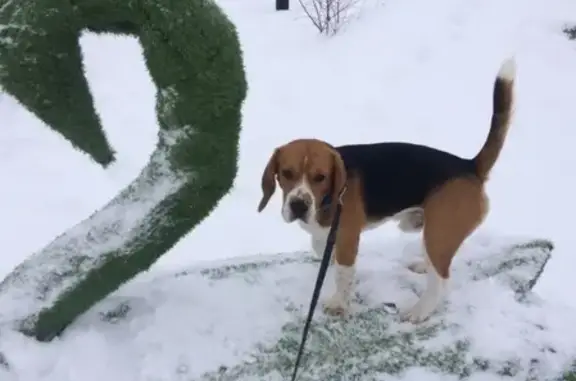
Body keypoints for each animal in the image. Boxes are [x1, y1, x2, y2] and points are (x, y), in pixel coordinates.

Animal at [258, 58, 516, 322]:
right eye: (286, 173)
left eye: (320, 177)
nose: (298, 205)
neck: (327, 201)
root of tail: (469, 165)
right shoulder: (324, 235)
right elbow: (322, 250)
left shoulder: (348, 238)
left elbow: (343, 273)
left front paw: (339, 303)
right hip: (429, 229)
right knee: (442, 262)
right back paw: (424, 266)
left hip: (438, 231)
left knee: (441, 279)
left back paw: (419, 311)